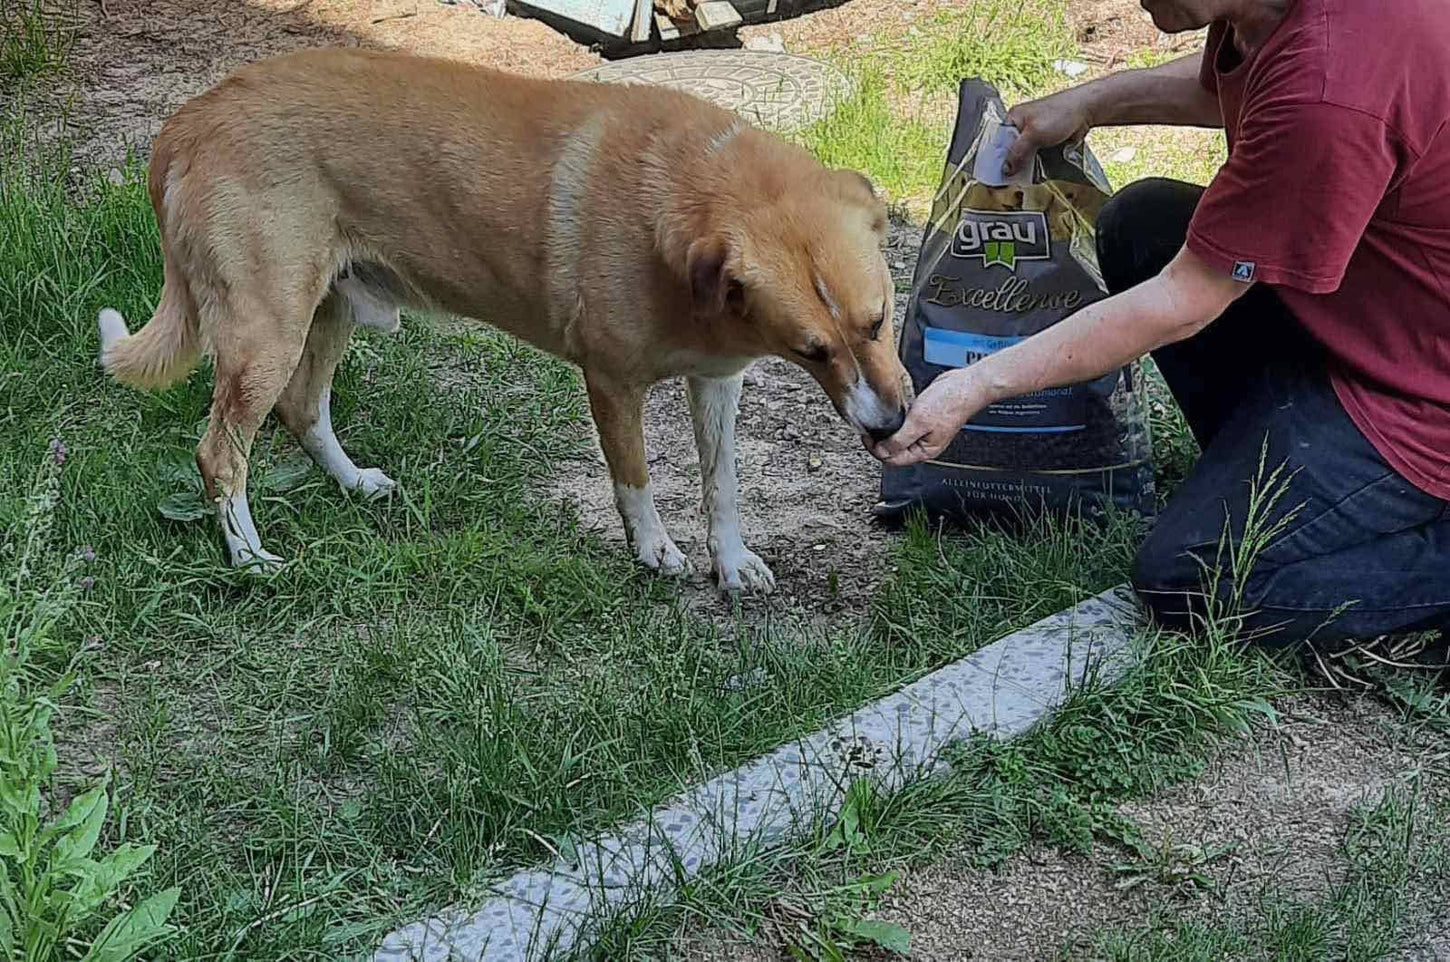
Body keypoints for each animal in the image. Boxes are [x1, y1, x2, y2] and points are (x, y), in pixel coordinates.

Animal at [96, 47, 908, 593]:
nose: (894, 424)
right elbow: (635, 481)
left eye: (879, 321)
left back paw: (353, 483)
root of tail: (190, 118)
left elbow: (724, 481)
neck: (684, 198)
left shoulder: (718, 381)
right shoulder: (612, 383)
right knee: (219, 455)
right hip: (266, 334)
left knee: (302, 409)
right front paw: (654, 552)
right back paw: (248, 557)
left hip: (327, 312)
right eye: (812, 349)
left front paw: (731, 562)